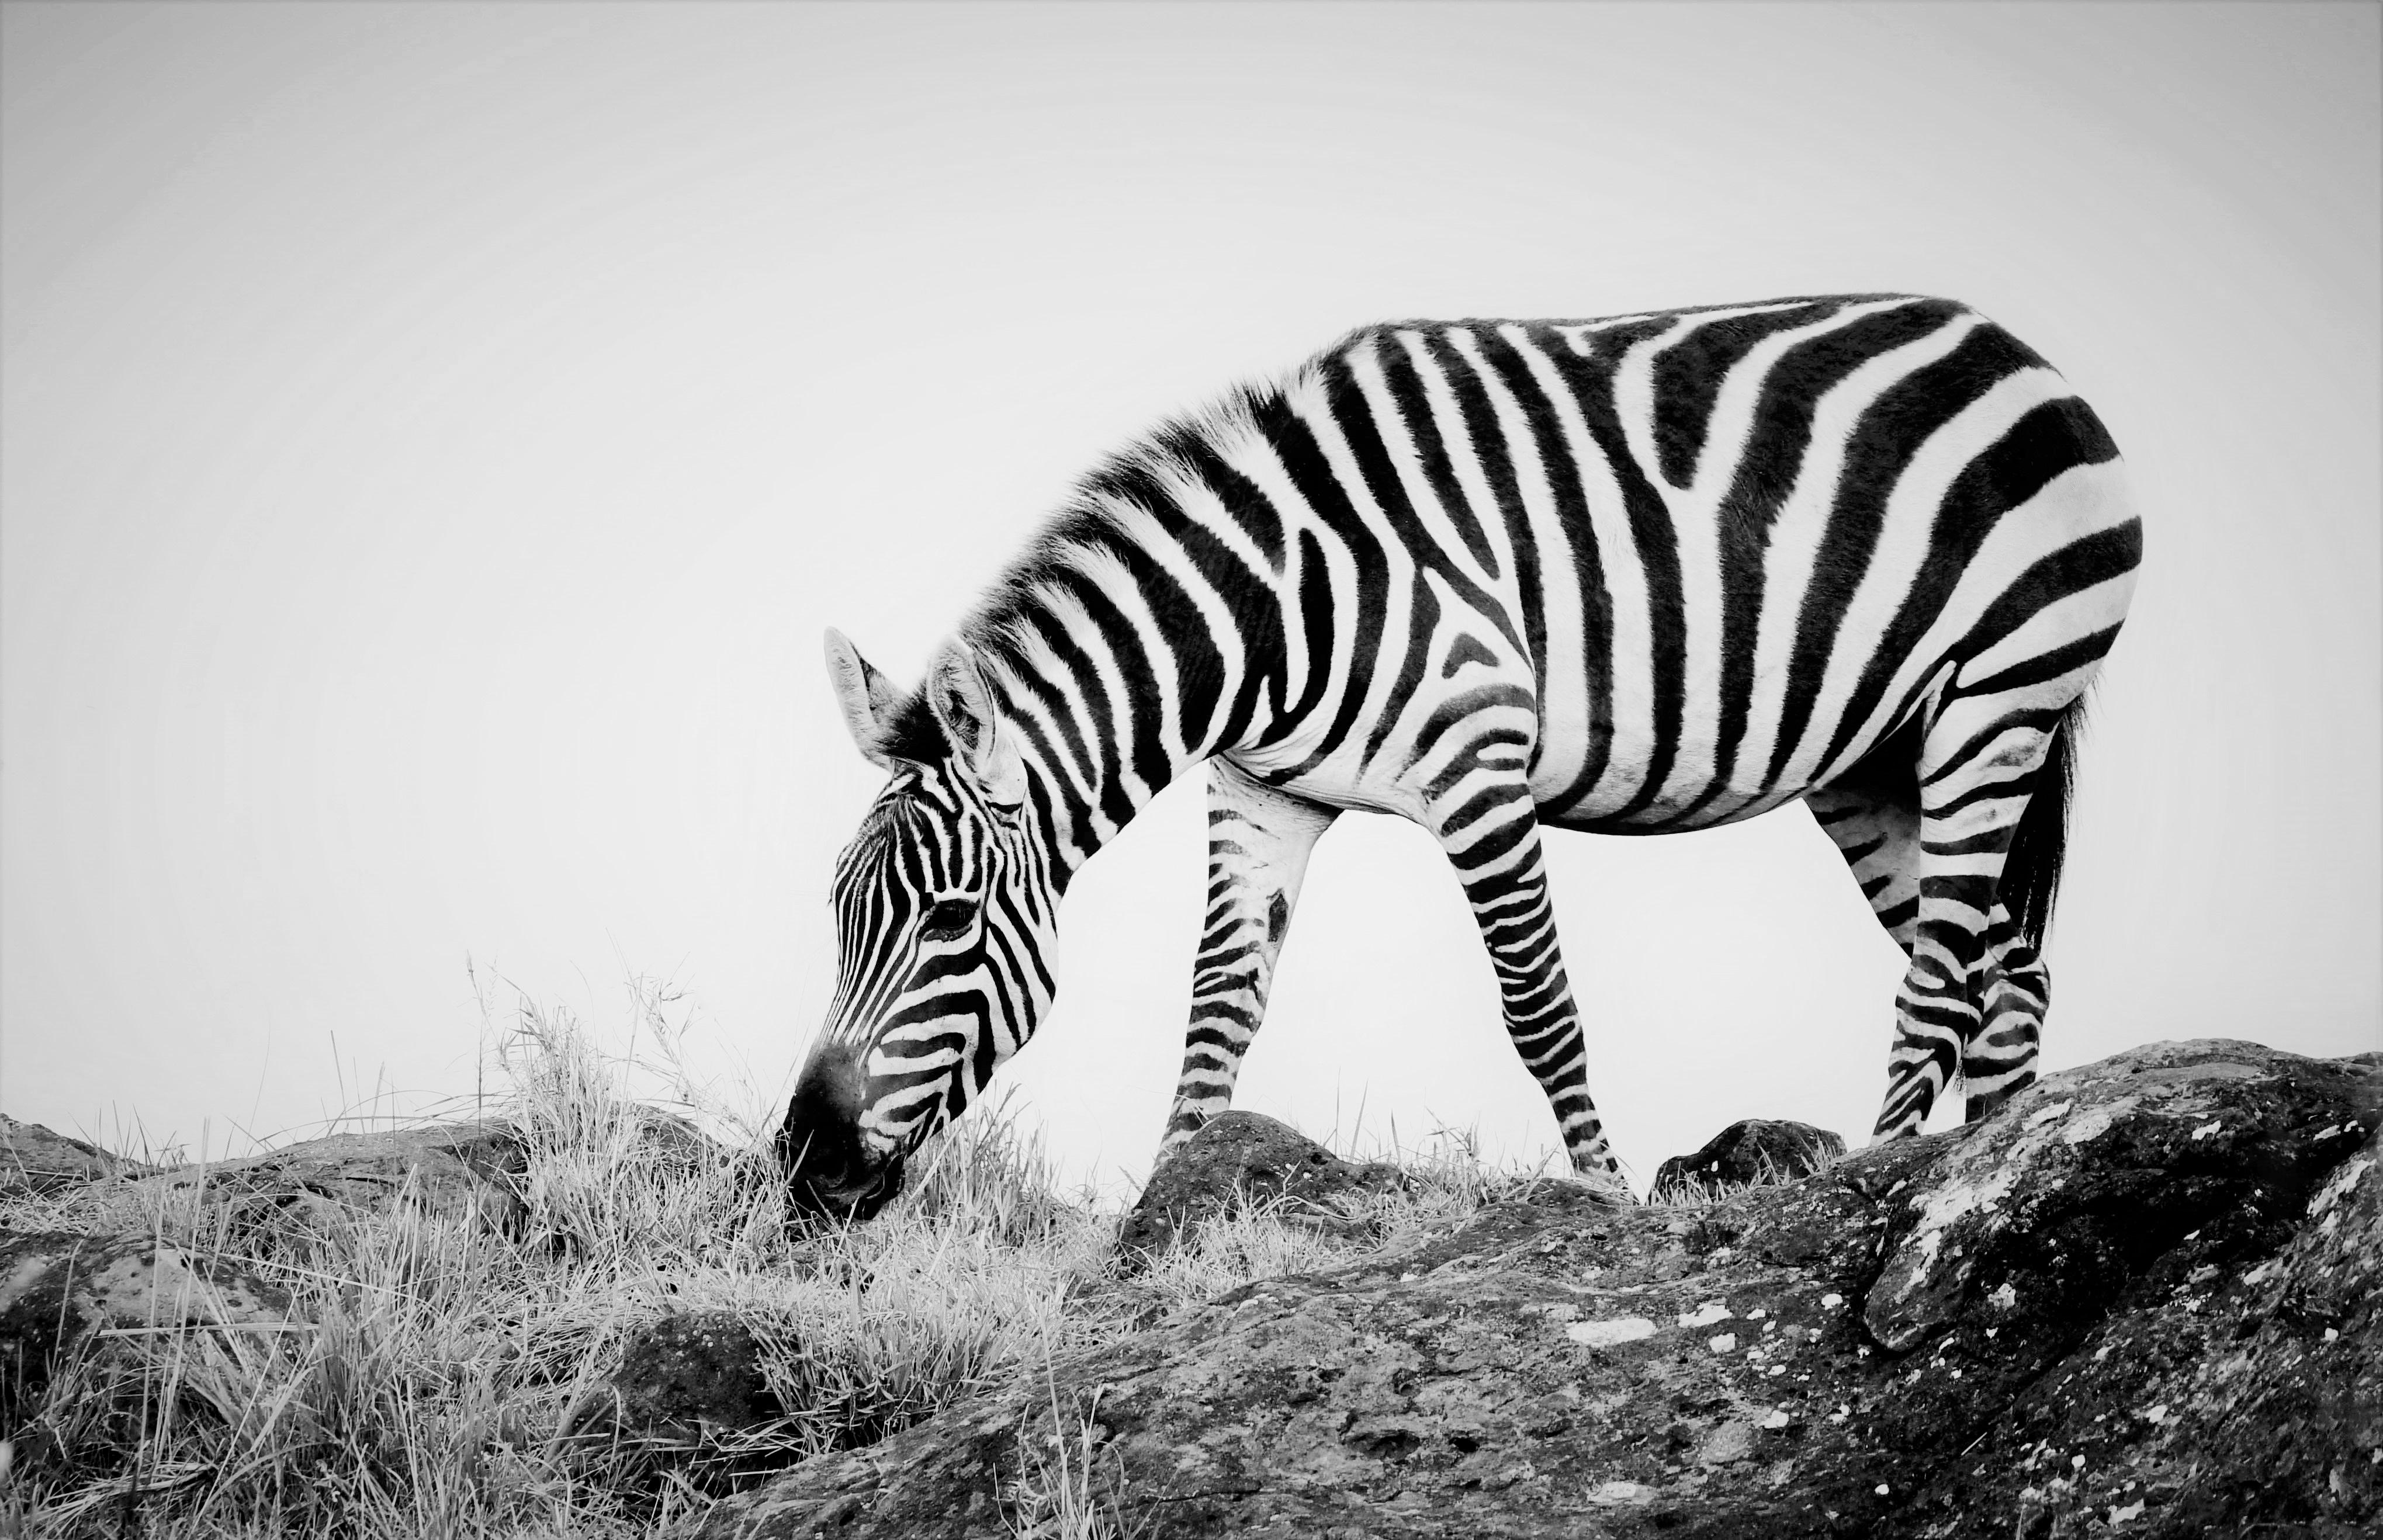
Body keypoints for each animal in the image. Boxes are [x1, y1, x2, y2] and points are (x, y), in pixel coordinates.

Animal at [777, 294, 2142, 1219]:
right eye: (838, 912)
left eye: (949, 920)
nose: (804, 1162)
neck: (1278, 604)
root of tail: (2004, 343)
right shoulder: (1260, 791)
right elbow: (1217, 1008)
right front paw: (1157, 1220)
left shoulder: (1477, 758)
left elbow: (1539, 1007)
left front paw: (1602, 1199)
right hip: (1873, 755)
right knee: (2006, 972)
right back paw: (1996, 1170)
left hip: (1998, 690)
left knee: (1947, 973)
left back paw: (1880, 1179)